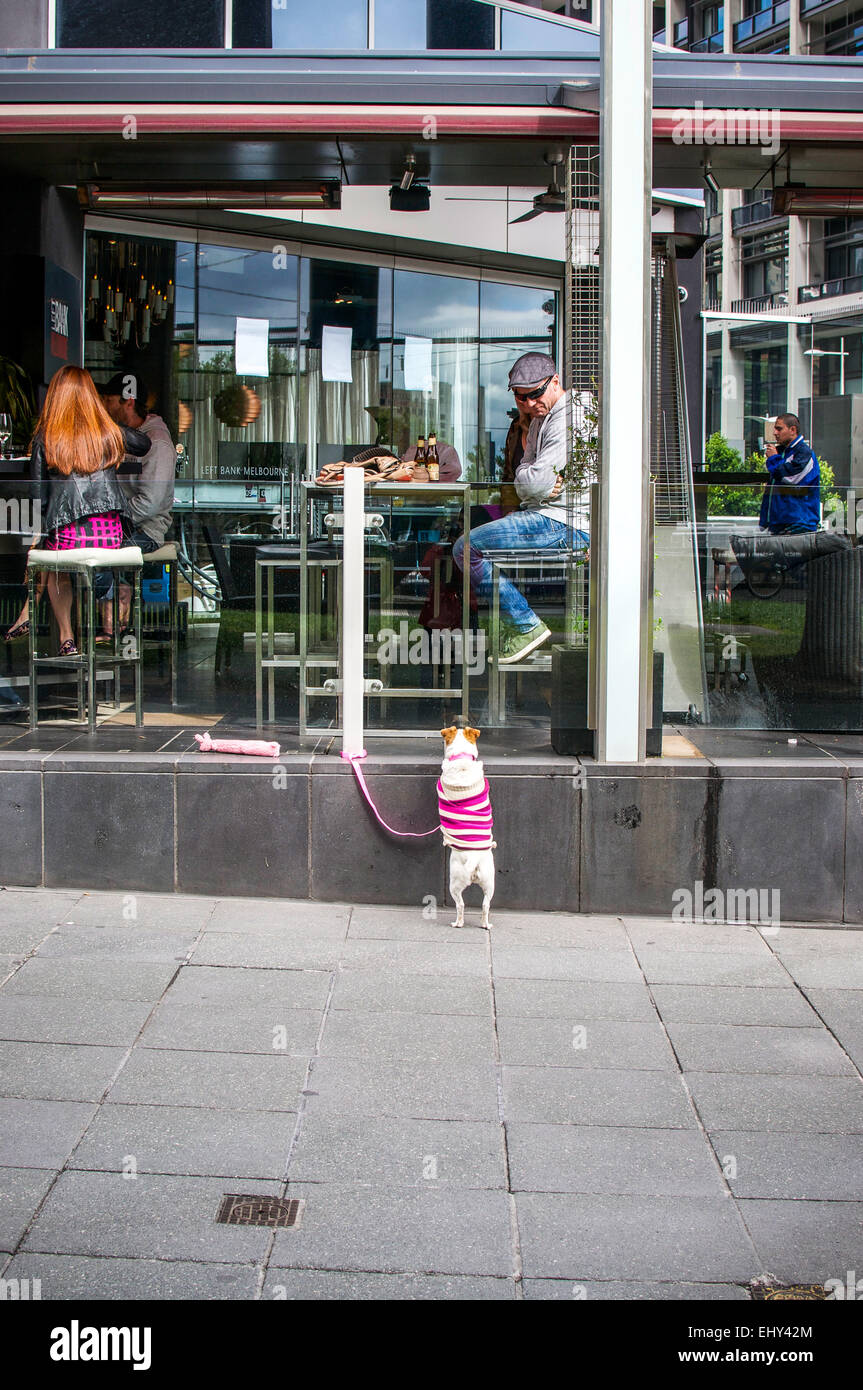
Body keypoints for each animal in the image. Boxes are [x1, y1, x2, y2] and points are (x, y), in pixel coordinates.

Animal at [441, 722, 494, 928]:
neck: (462, 758)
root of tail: (474, 858)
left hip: (454, 883)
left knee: (460, 905)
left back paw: (458, 923)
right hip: (490, 882)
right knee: (486, 905)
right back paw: (485, 924)